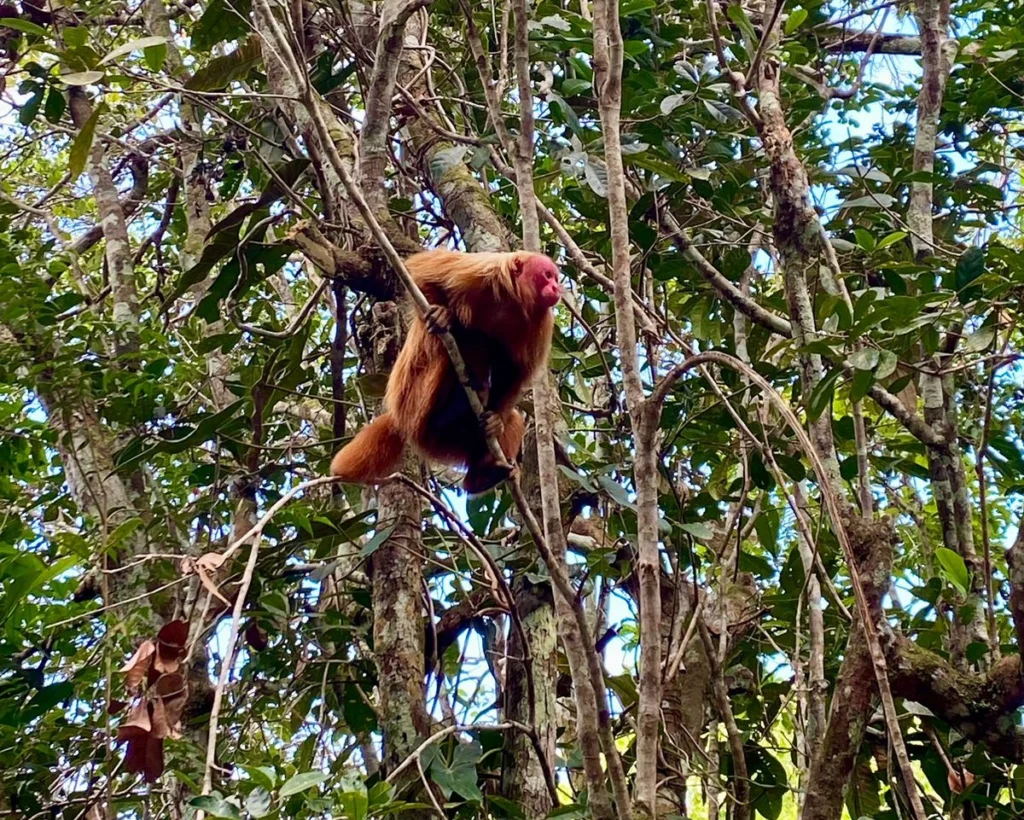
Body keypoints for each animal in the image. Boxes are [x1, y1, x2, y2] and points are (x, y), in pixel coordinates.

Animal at [330, 250, 563, 494]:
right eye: (548, 276)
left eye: (556, 278)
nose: (557, 288)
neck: (511, 302)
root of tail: (401, 421)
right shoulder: (481, 271)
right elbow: (420, 272)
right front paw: (442, 314)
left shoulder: (541, 323)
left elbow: (515, 372)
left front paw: (496, 420)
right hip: (416, 405)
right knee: (441, 342)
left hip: (449, 440)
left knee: (511, 418)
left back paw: (481, 476)